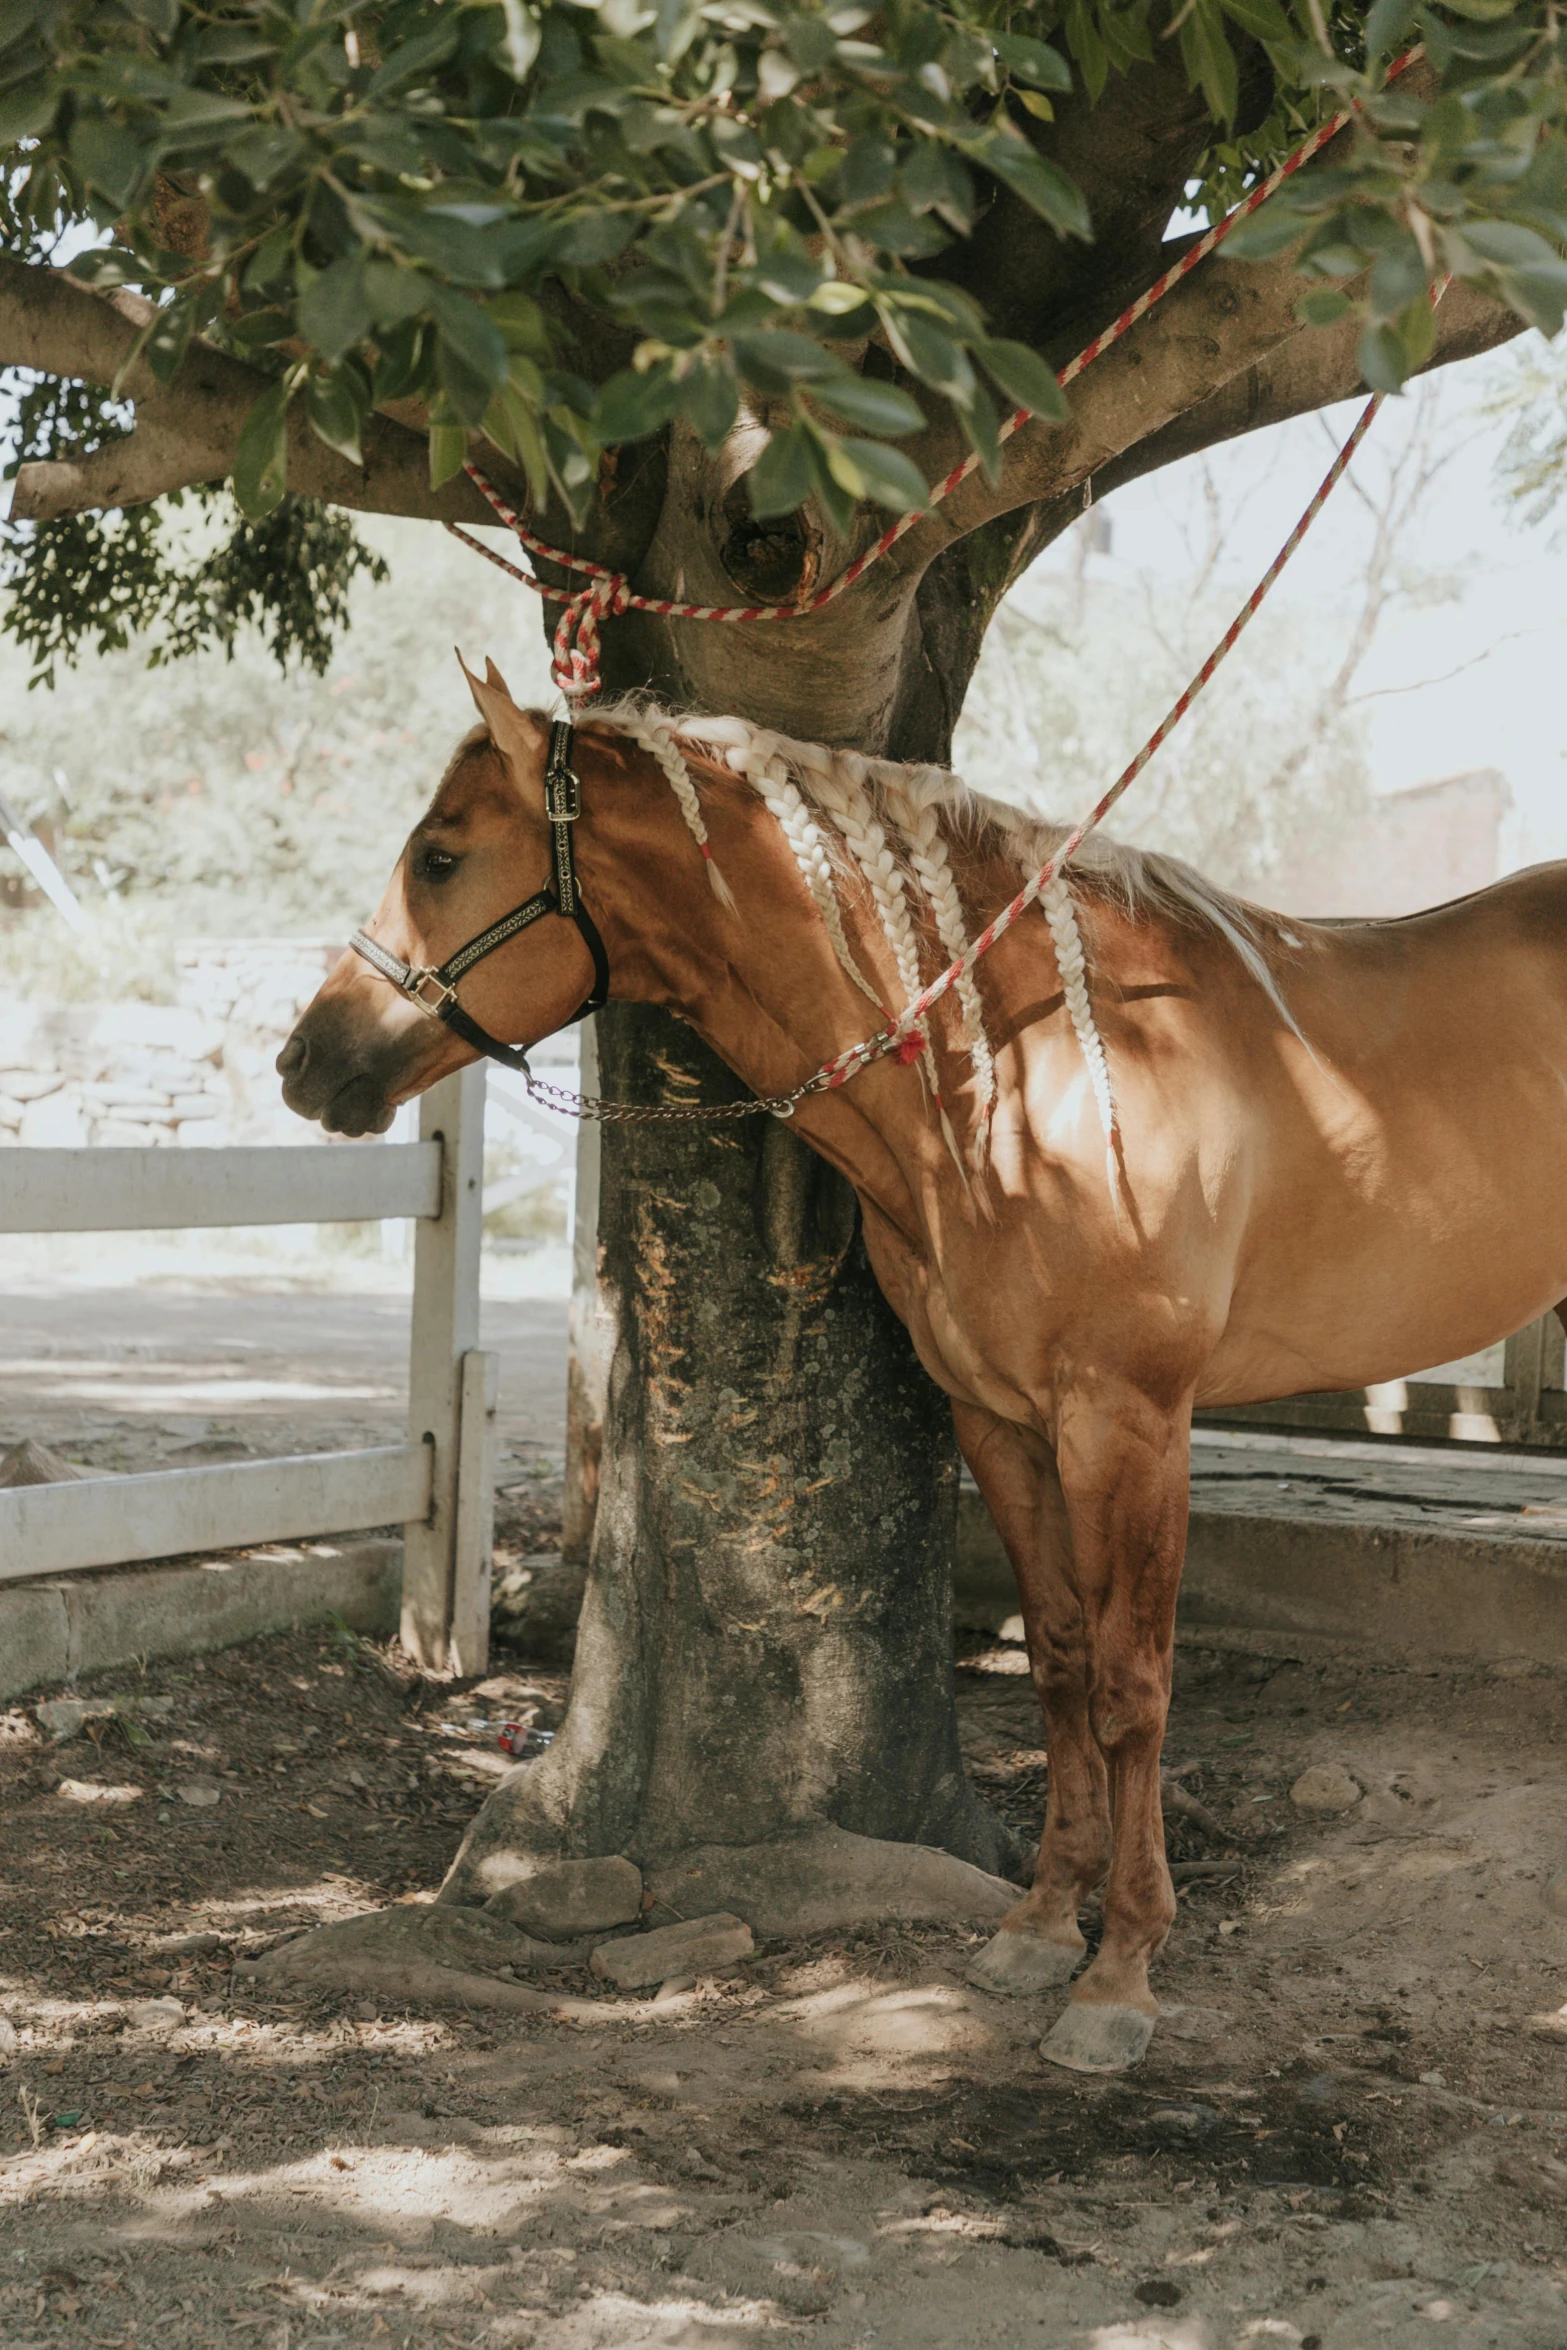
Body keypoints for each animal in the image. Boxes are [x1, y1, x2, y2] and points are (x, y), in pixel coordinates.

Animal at [278, 662, 1567, 2077]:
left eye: (441, 854)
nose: (304, 1062)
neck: (1028, 1063)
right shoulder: (996, 1418)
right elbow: (1058, 1660)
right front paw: (1038, 1929)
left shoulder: (1128, 1421)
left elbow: (1132, 1684)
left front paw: (1119, 1974)